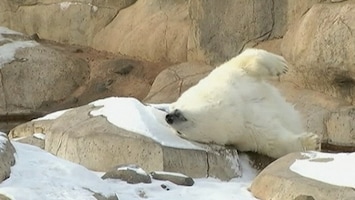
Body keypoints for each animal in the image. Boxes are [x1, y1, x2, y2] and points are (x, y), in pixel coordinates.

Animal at [165, 48, 322, 158]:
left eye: (175, 108)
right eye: (179, 133)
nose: (168, 118)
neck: (235, 106)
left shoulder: (232, 79)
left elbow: (244, 60)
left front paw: (281, 64)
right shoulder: (247, 133)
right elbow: (275, 142)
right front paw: (312, 141)